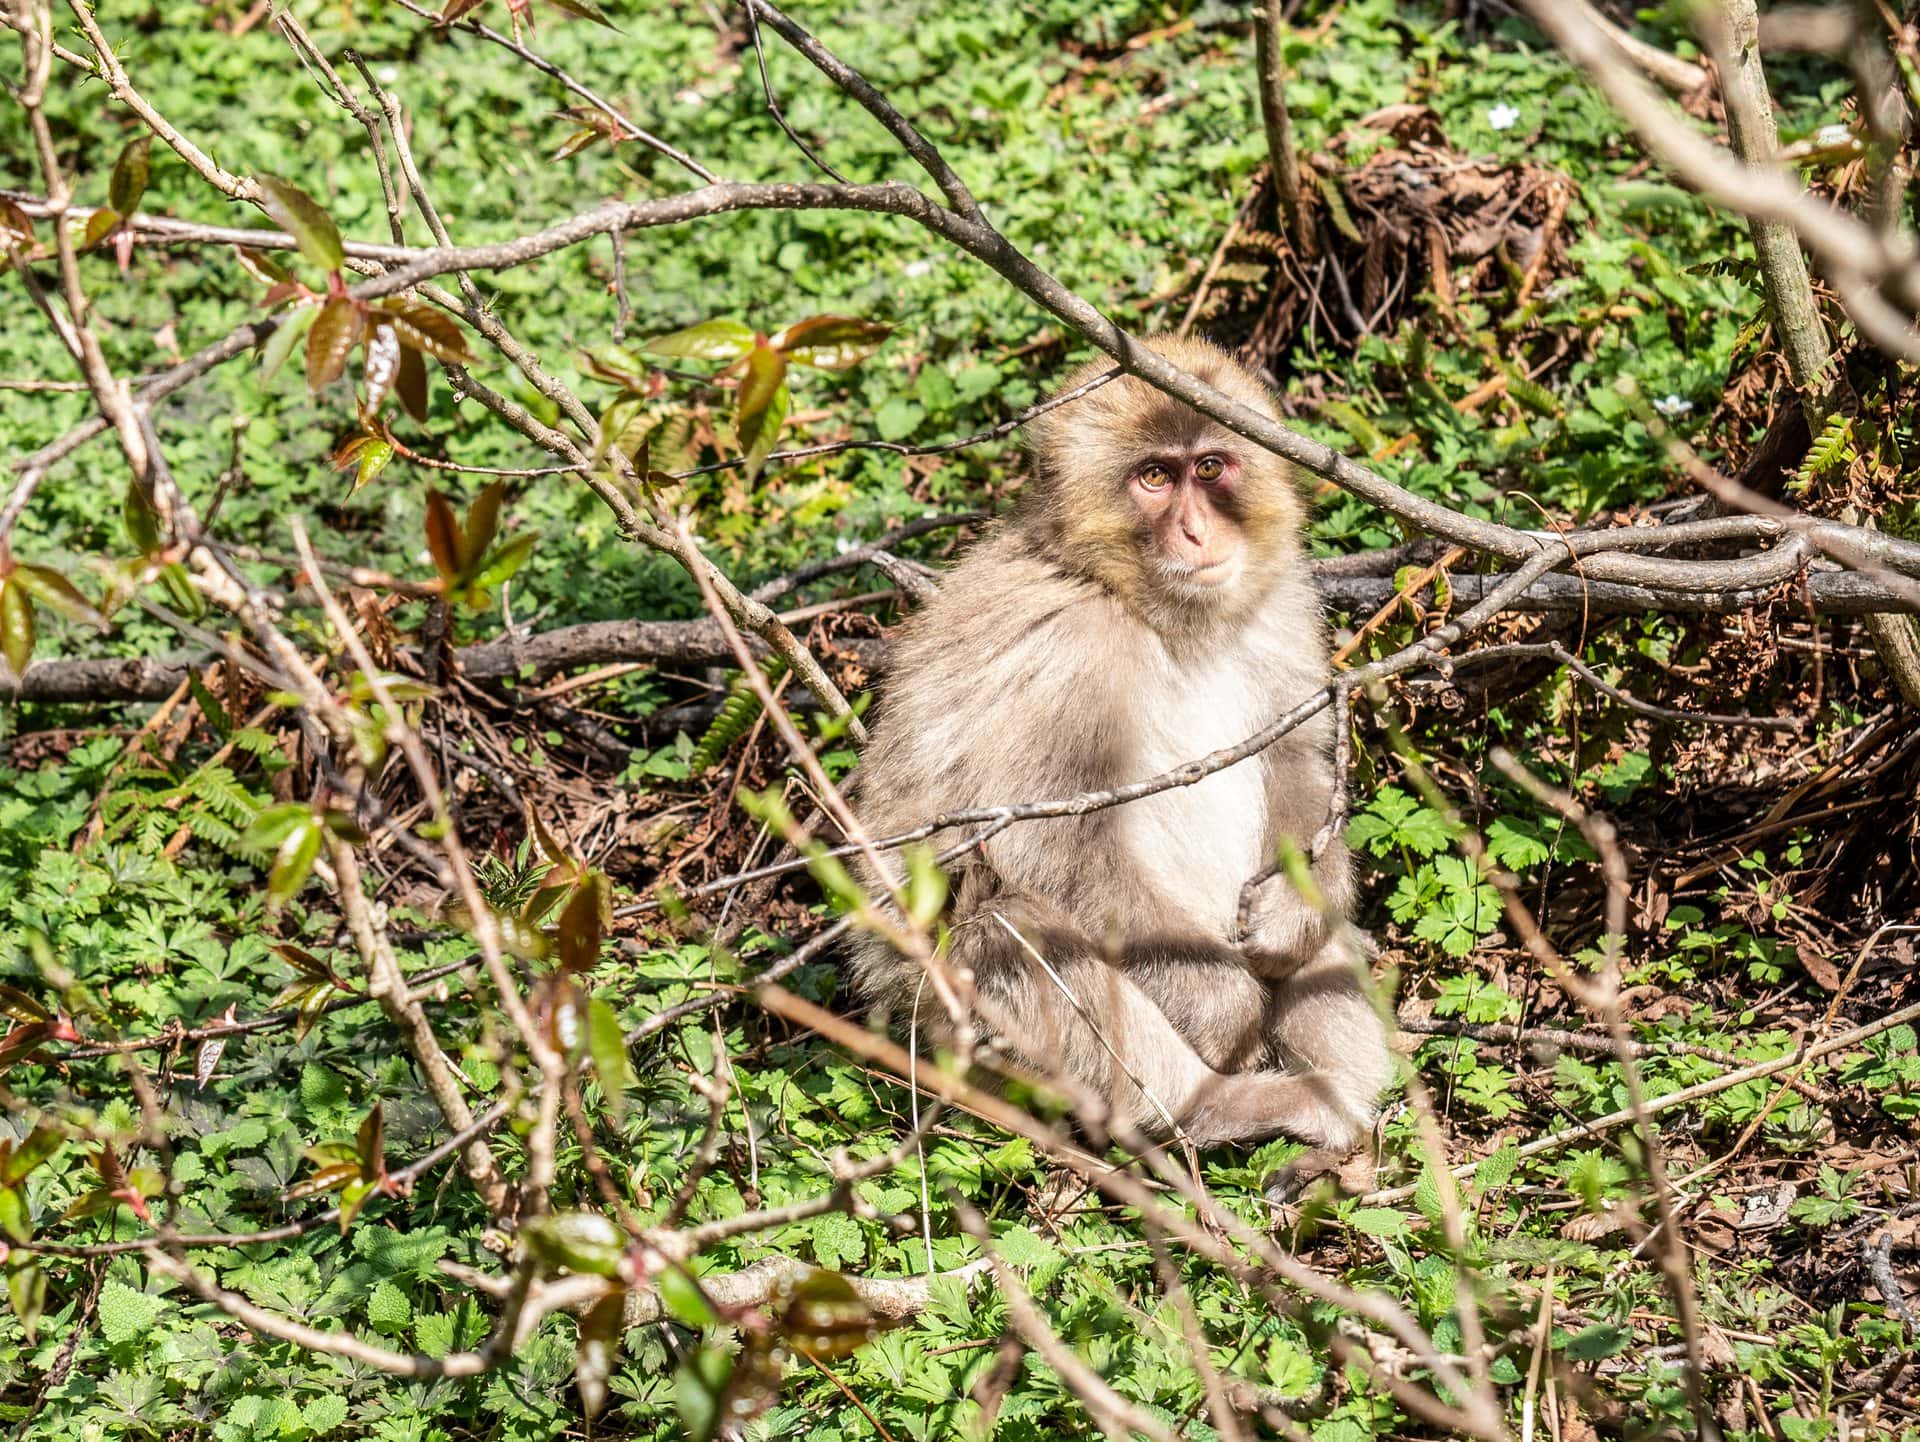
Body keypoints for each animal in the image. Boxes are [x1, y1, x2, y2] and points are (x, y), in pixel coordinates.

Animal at [847, 335, 1391, 1166]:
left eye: (1210, 467)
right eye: (1154, 478)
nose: (1198, 532)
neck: (1149, 606)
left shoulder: (1281, 599)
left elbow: (1297, 757)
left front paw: (1291, 917)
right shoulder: (1068, 649)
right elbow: (1056, 839)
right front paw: (1226, 1007)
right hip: (938, 1020)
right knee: (1011, 928)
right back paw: (1216, 1109)